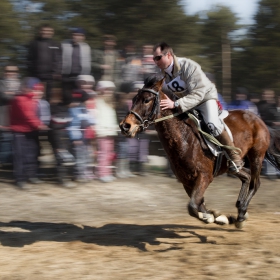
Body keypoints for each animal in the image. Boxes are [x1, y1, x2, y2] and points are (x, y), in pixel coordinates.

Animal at [119, 76, 280, 228]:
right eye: (133, 99)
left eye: (146, 100)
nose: (125, 126)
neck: (185, 139)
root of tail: (259, 120)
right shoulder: (186, 181)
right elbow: (198, 204)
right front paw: (217, 216)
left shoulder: (204, 177)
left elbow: (192, 206)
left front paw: (214, 217)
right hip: (232, 166)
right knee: (246, 176)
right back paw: (240, 210)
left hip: (256, 156)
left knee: (255, 183)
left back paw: (241, 214)